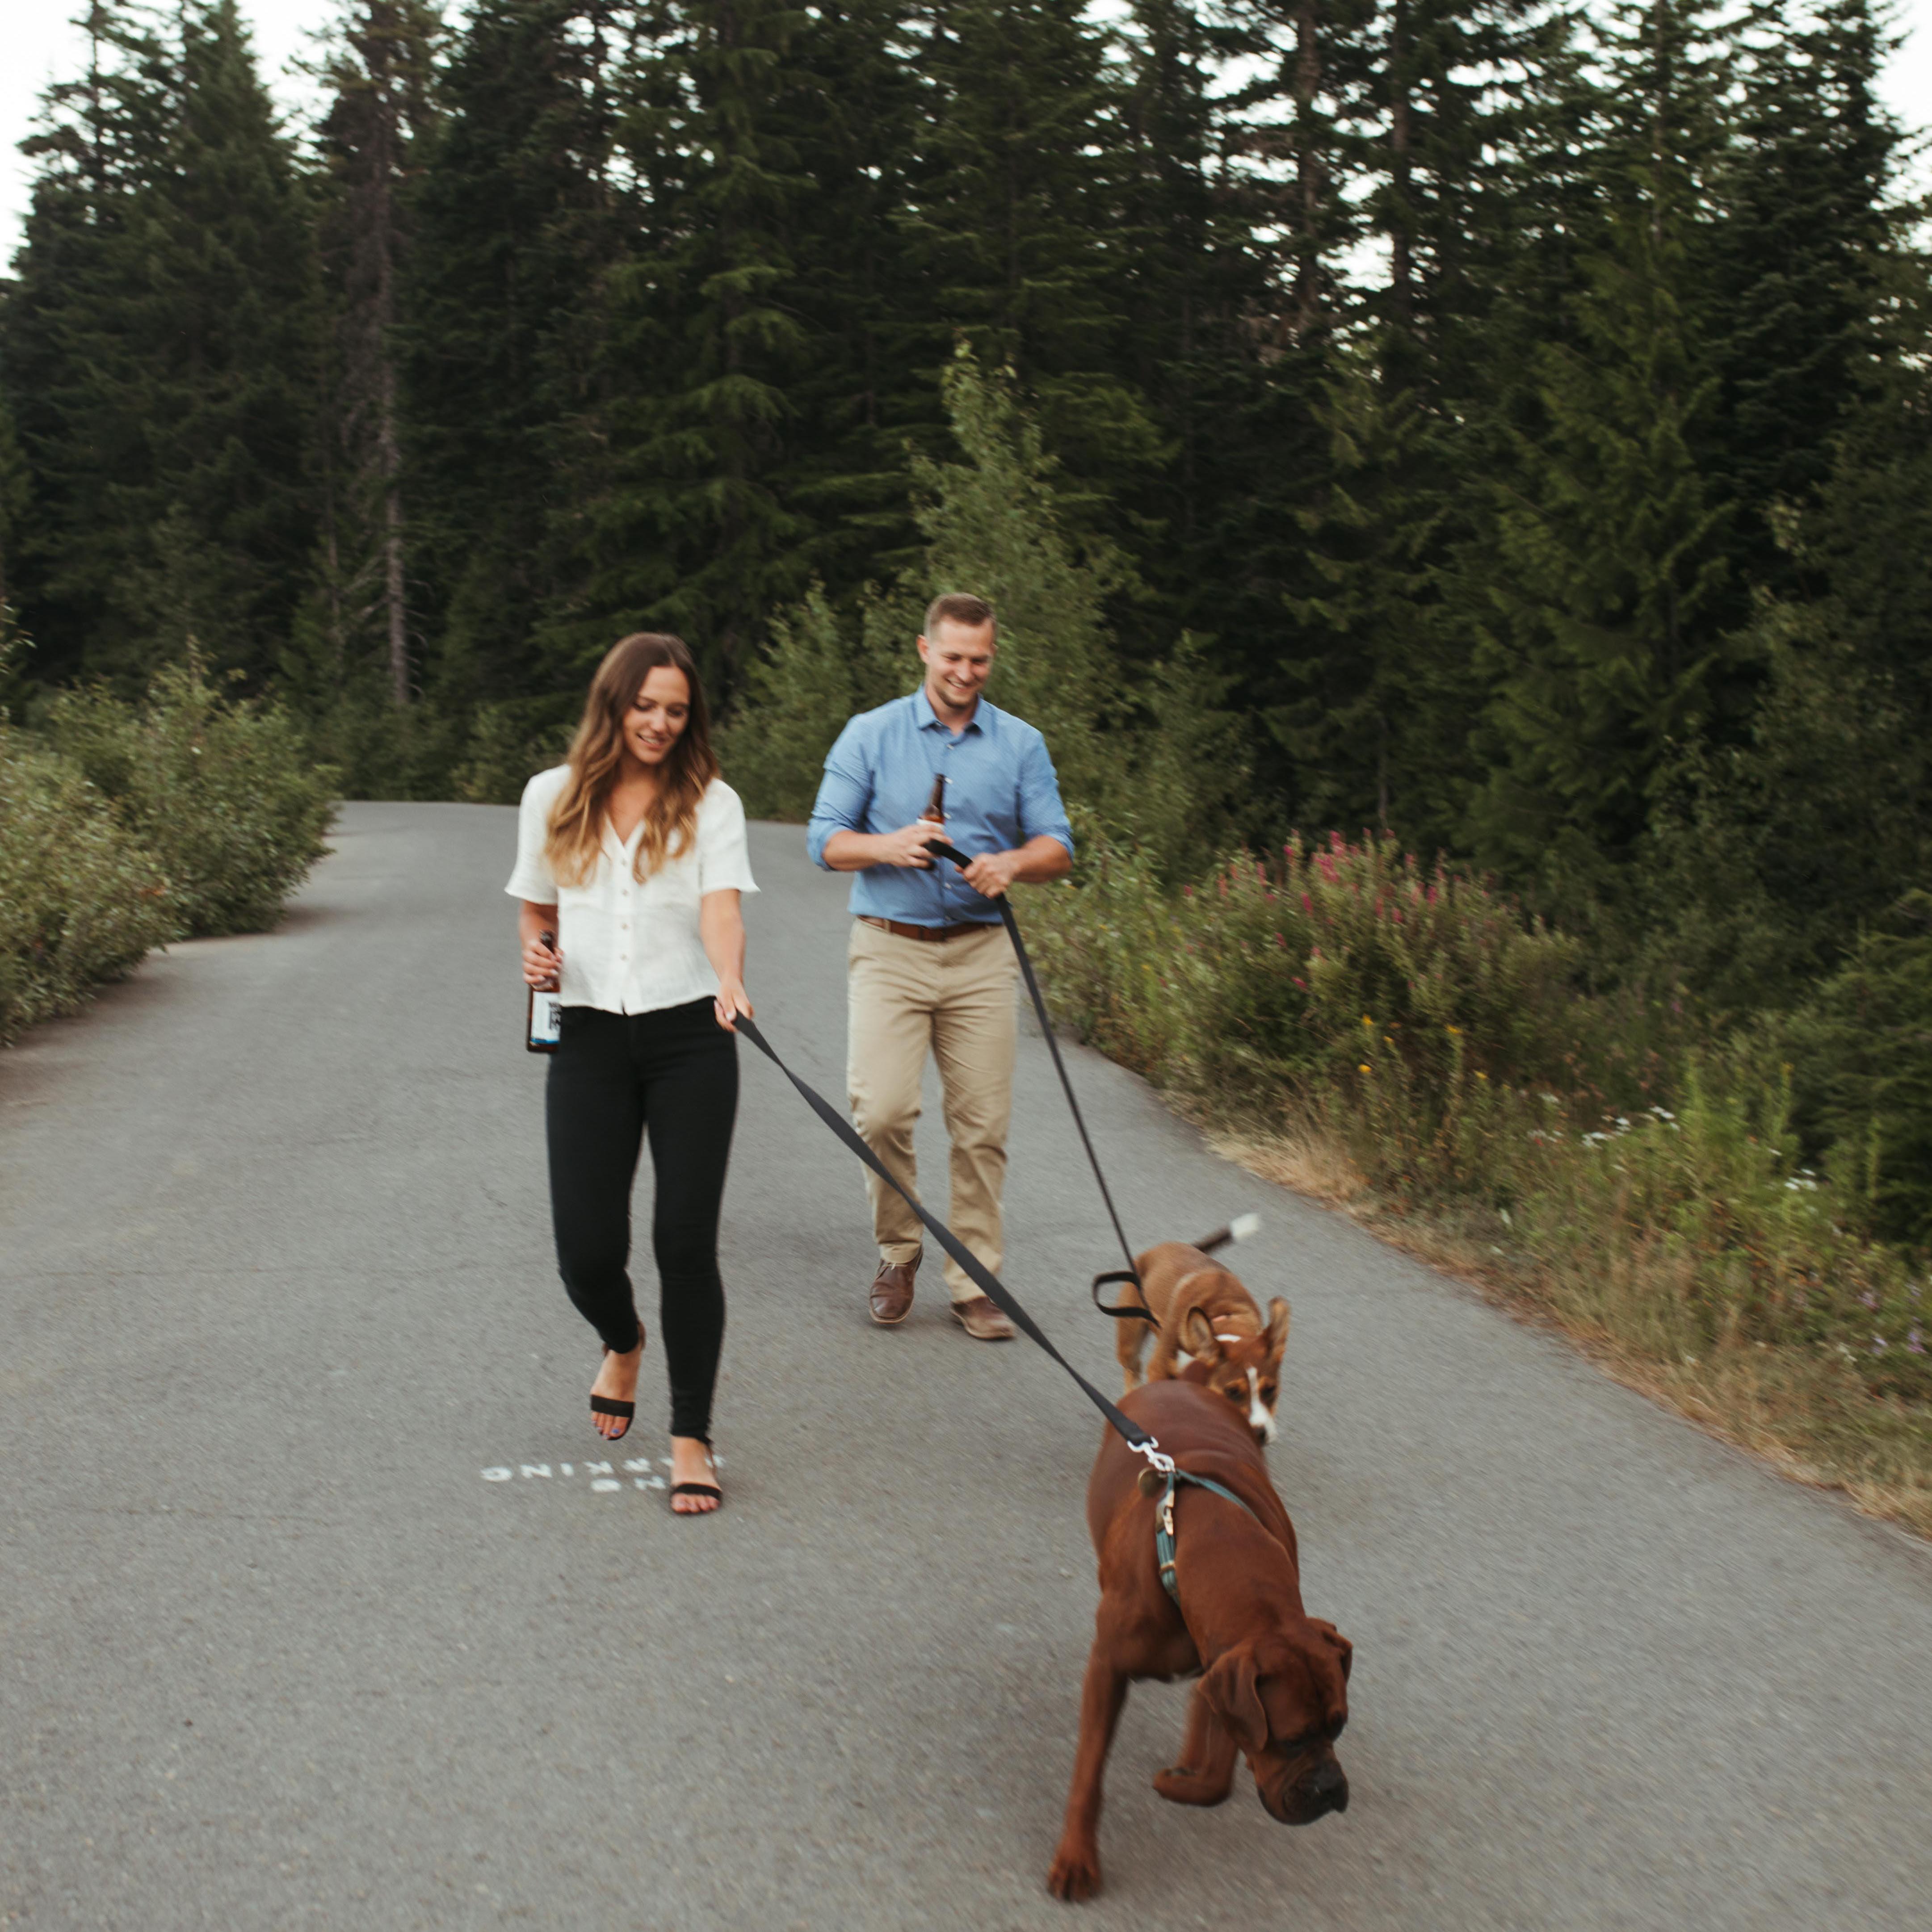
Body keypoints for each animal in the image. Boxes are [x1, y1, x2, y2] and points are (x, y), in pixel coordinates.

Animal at [1047, 1378, 1352, 1901]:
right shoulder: (1108, 1669)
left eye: (1339, 1727)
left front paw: (1184, 1785)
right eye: (1292, 1741)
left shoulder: (1232, 1673)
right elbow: (1088, 1773)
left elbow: (1219, 1775)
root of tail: (1181, 1382)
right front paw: (1076, 1859)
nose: (1331, 1790)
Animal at [1111, 1215, 1290, 1446]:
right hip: (1129, 1345)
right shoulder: (1159, 1370)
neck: (1224, 1319)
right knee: (1133, 1371)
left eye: (1270, 1390)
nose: (1259, 1435)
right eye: (1233, 1392)